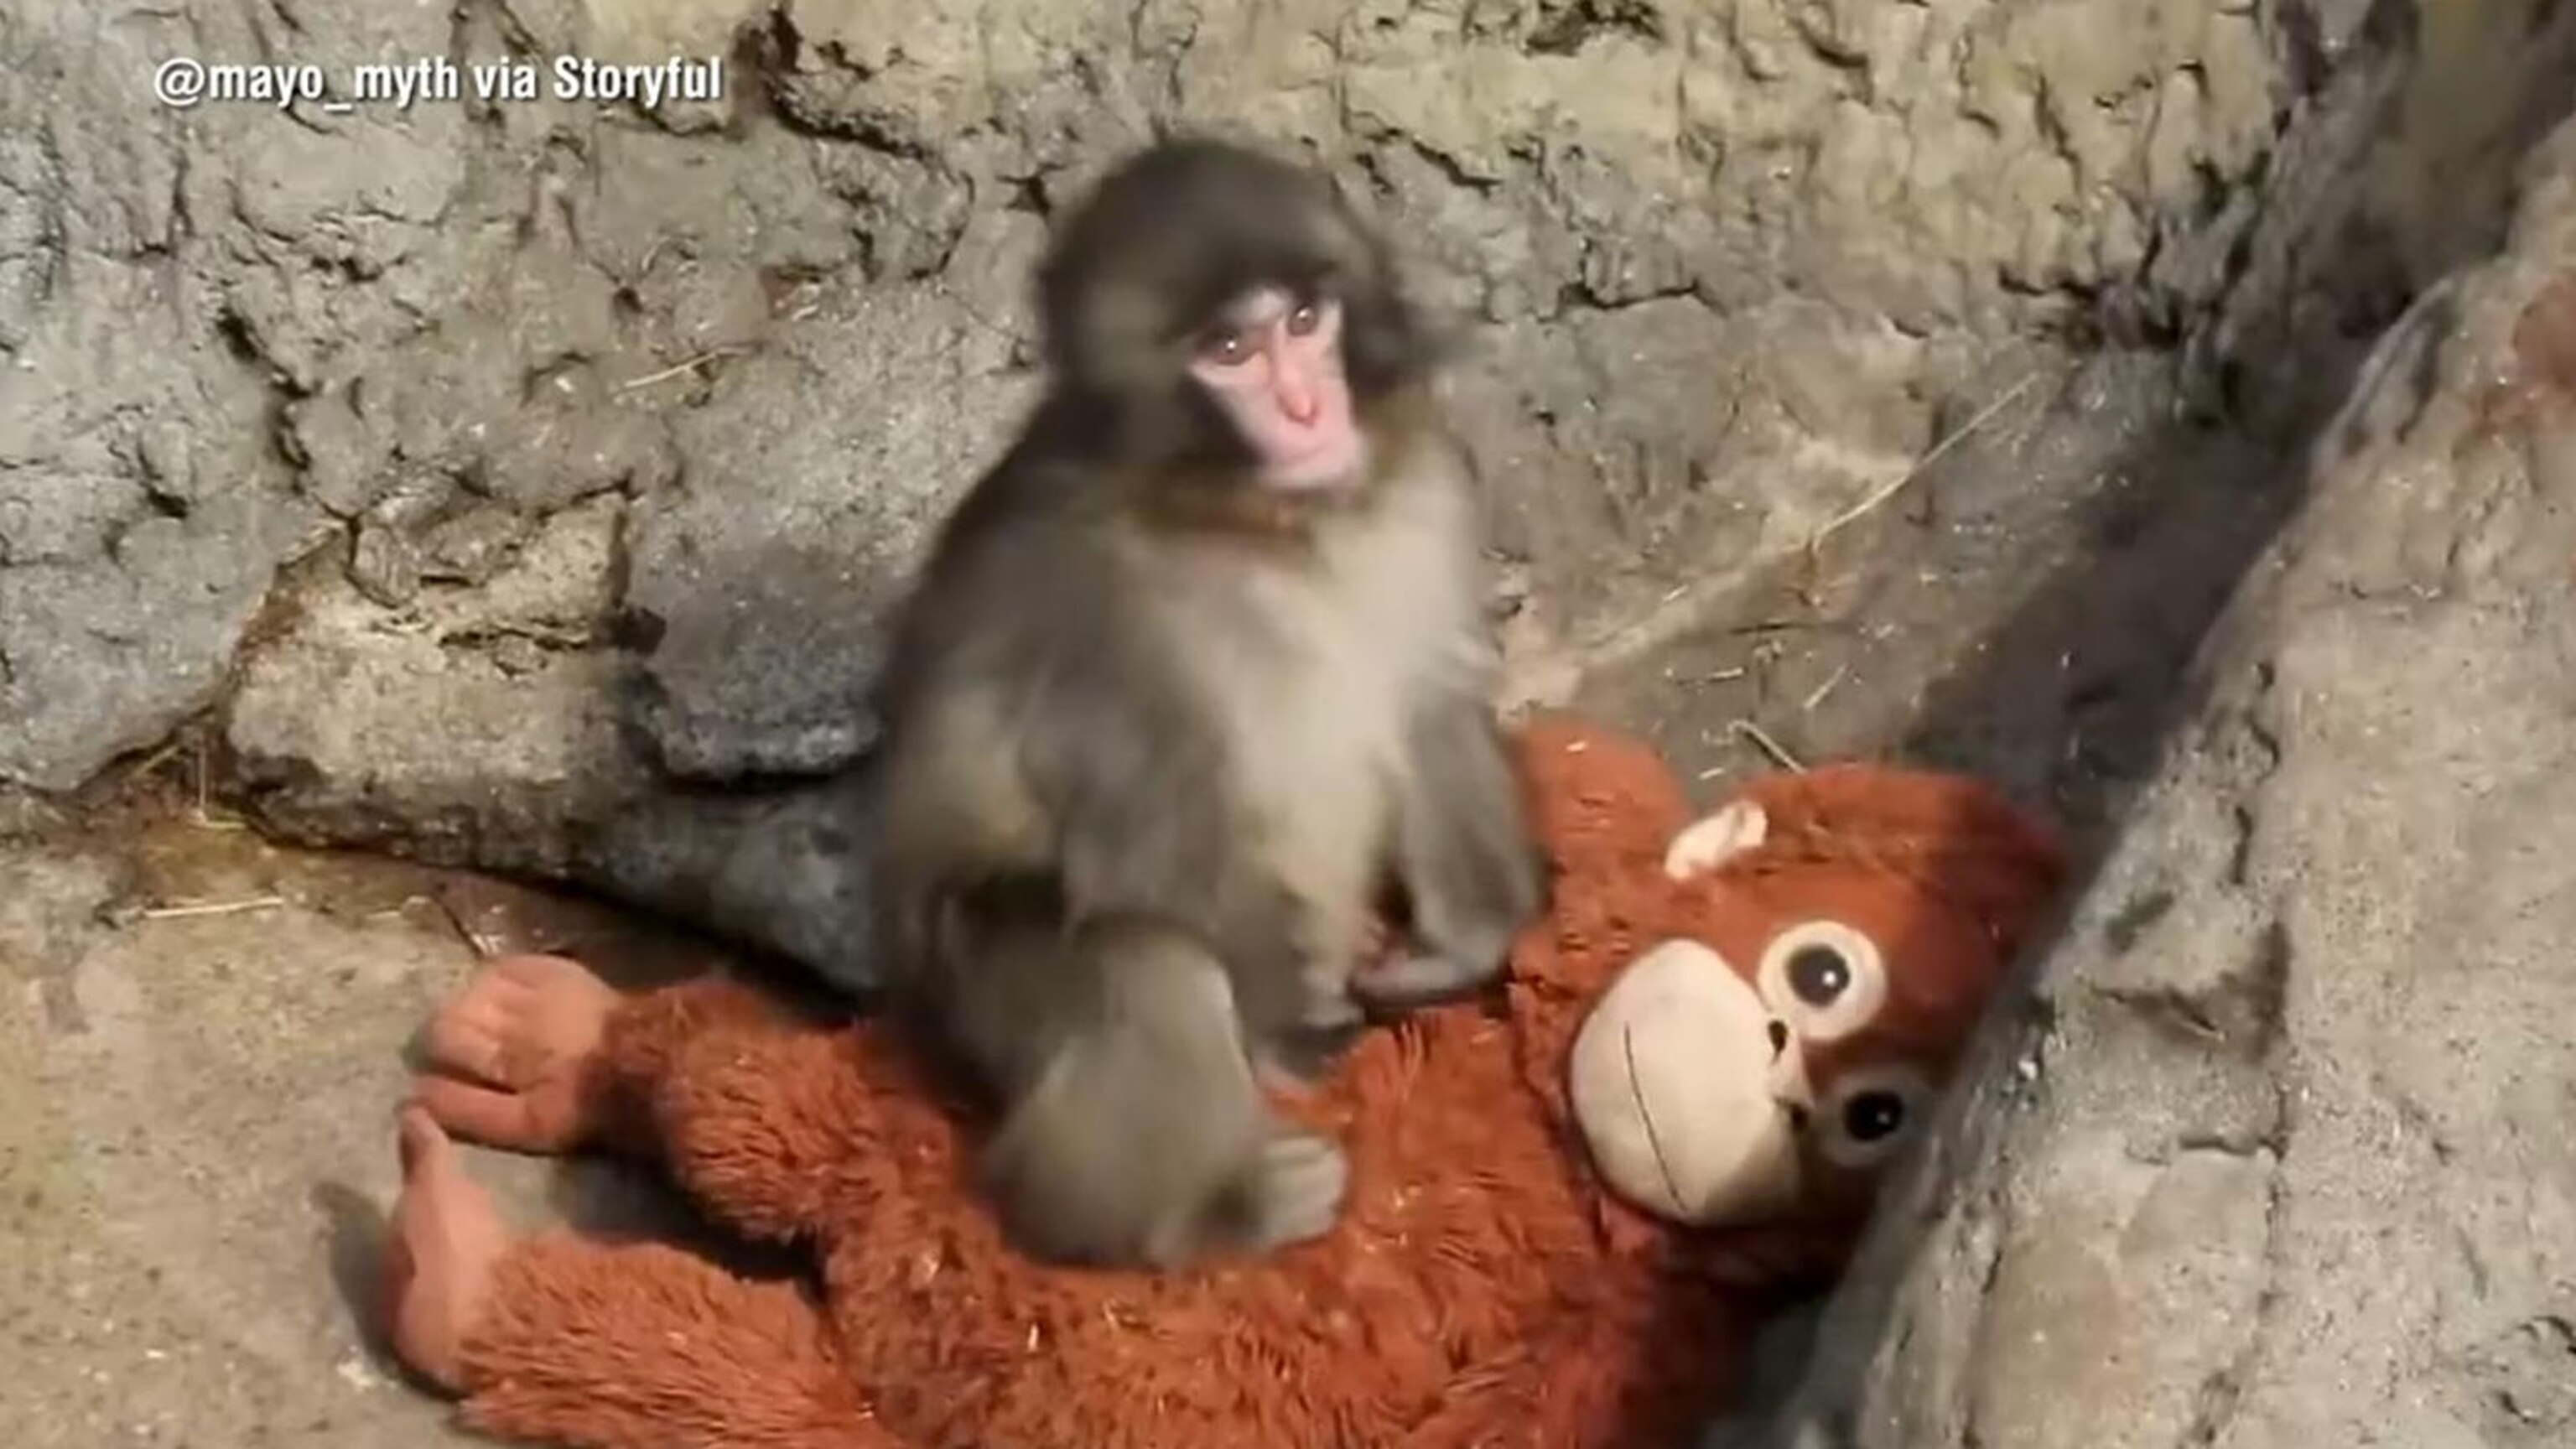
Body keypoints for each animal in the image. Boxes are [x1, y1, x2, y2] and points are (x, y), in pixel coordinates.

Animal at [864, 135, 1546, 1271]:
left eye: (1306, 322)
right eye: (1229, 350)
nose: (1312, 412)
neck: (1262, 521)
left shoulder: (1423, 478)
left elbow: (1431, 705)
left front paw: (1465, 943)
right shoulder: (1081, 600)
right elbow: (1153, 838)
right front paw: (1300, 1018)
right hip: (973, 1005)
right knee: (1146, 954)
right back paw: (1186, 1215)